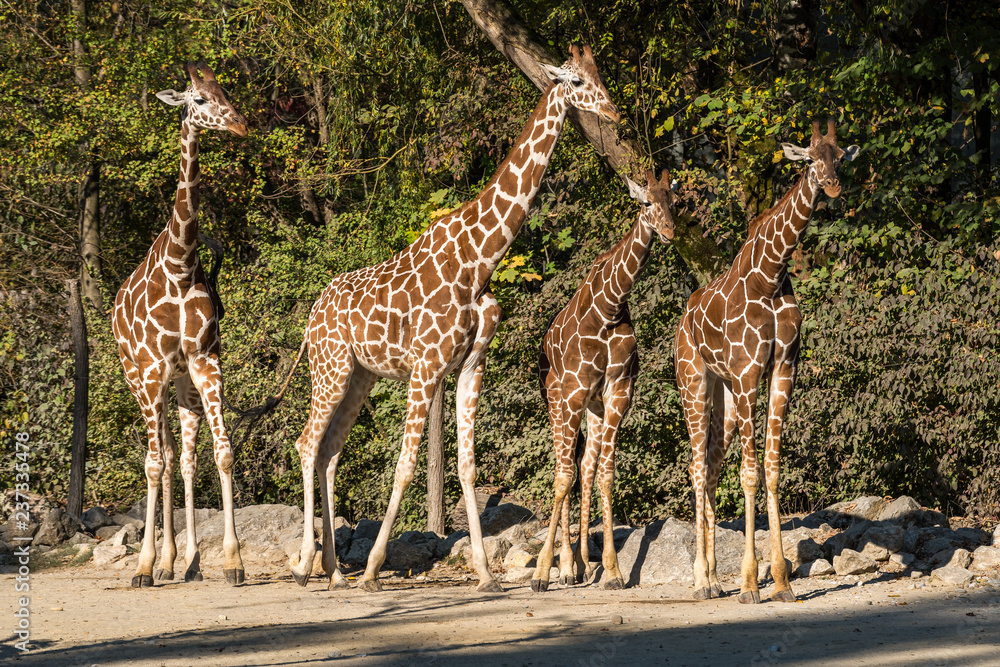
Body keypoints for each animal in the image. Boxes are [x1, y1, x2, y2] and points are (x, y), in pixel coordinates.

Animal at [112, 62, 248, 588]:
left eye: (226, 91)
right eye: (200, 100)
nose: (241, 125)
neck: (181, 262)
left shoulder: (205, 360)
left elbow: (222, 452)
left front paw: (232, 561)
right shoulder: (151, 370)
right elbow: (152, 464)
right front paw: (143, 566)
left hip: (181, 381)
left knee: (181, 457)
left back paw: (183, 561)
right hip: (136, 377)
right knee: (163, 458)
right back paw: (158, 563)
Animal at [261, 45, 619, 592]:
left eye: (600, 74)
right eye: (577, 80)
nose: (615, 114)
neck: (480, 259)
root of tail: (309, 320)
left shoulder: (471, 365)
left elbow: (468, 467)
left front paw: (485, 574)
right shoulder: (425, 366)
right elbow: (407, 466)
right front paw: (372, 571)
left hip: (359, 376)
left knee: (329, 453)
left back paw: (333, 573)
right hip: (331, 369)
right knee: (306, 444)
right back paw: (308, 566)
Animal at [532, 169, 674, 593]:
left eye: (675, 202)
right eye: (645, 202)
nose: (669, 231)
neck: (609, 306)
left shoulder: (618, 392)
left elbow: (605, 476)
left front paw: (611, 571)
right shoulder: (575, 392)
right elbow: (562, 478)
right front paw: (543, 572)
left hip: (592, 409)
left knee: (585, 466)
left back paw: (579, 564)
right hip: (556, 401)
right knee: (564, 466)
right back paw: (564, 567)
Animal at [674, 119, 858, 603]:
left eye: (840, 157)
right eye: (810, 158)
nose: (833, 186)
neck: (772, 274)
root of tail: (682, 321)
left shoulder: (783, 371)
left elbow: (772, 470)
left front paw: (780, 581)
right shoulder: (748, 373)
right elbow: (750, 474)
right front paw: (750, 584)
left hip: (722, 394)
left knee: (711, 466)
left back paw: (712, 577)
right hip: (695, 383)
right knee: (697, 466)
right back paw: (701, 581)